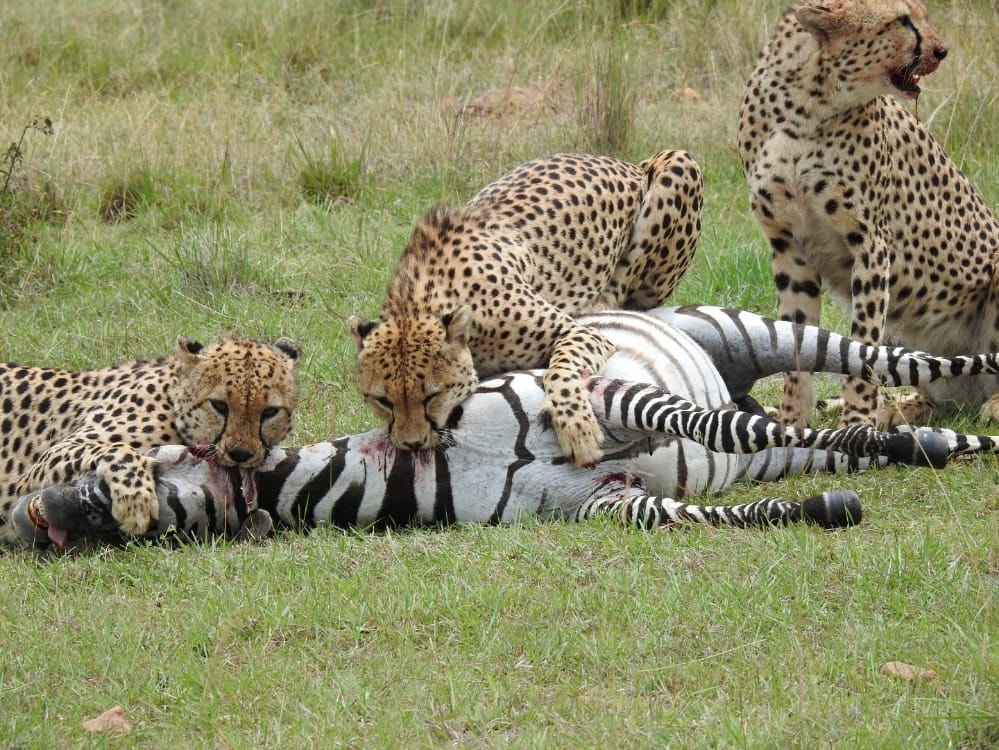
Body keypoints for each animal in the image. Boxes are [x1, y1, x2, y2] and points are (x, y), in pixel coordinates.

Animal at [0, 335, 301, 543]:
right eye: (219, 405)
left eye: (270, 412)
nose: (240, 454)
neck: (173, 400)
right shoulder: (39, 468)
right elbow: (120, 450)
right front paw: (135, 502)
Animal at [348, 150, 704, 467]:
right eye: (382, 400)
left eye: (432, 395)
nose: (412, 444)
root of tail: (626, 162)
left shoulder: (582, 333)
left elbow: (561, 368)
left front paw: (576, 428)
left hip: (679, 163)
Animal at [738, 0, 999, 429]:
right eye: (902, 21)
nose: (942, 51)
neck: (806, 105)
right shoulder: (788, 245)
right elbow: (796, 343)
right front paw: (792, 424)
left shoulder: (870, 244)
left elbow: (862, 346)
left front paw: (856, 424)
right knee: (941, 399)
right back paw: (898, 410)